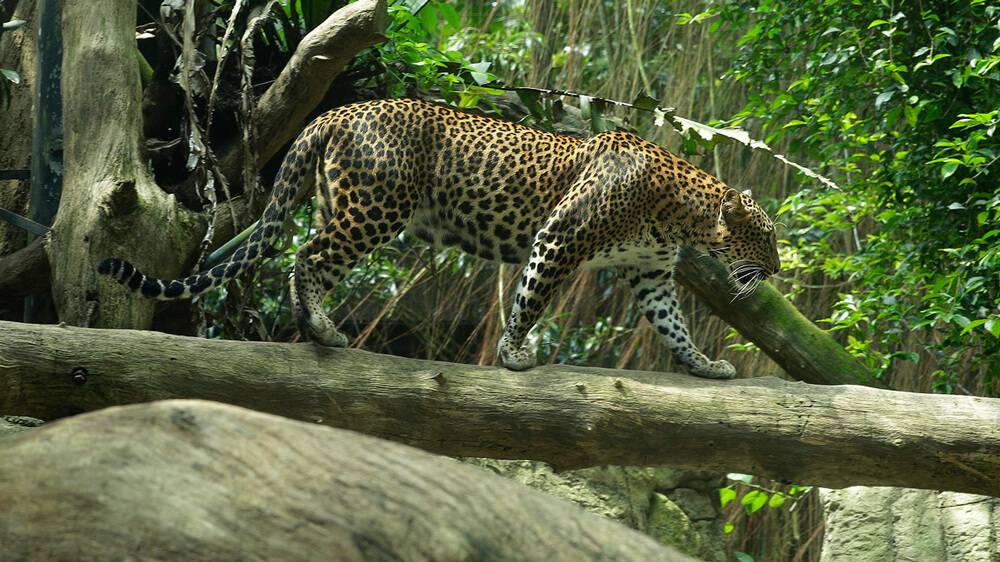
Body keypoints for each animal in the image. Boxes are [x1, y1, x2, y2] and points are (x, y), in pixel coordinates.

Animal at [99, 98, 779, 379]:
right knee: (306, 256)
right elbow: (530, 299)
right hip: (373, 209)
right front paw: (513, 355)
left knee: (303, 253)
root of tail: (336, 111)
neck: (682, 213)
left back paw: (311, 328)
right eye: (766, 238)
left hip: (340, 203)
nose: (774, 271)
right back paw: (322, 329)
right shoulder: (561, 237)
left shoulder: (651, 273)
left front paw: (704, 366)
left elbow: (674, 326)